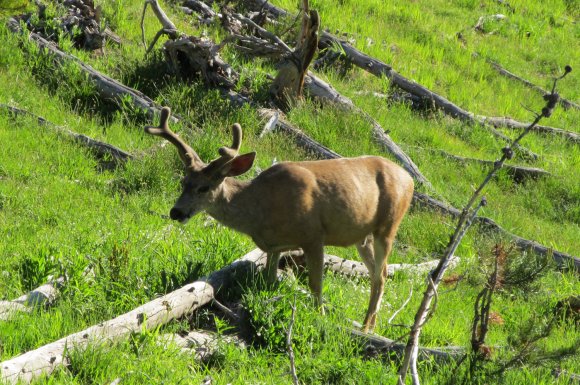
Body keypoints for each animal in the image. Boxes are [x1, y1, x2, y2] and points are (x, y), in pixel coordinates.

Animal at [147, 106, 414, 330]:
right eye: (184, 182)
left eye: (204, 188)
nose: (176, 212)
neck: (262, 212)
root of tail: (410, 179)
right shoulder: (274, 246)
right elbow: (270, 280)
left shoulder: (314, 235)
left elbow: (316, 285)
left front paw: (320, 318)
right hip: (363, 236)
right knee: (378, 272)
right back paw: (369, 324)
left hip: (388, 226)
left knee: (381, 274)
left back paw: (367, 327)